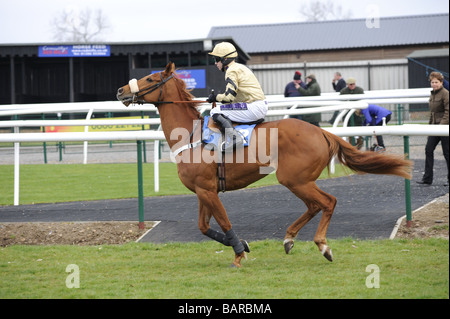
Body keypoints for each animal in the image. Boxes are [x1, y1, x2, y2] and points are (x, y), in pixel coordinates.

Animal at [118, 62, 414, 268]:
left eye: (151, 78)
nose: (121, 90)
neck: (191, 136)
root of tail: (321, 132)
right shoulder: (203, 190)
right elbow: (204, 227)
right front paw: (244, 245)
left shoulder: (208, 190)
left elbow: (224, 221)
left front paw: (239, 254)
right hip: (298, 180)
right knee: (315, 205)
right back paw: (289, 238)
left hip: (295, 179)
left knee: (327, 202)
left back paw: (322, 246)